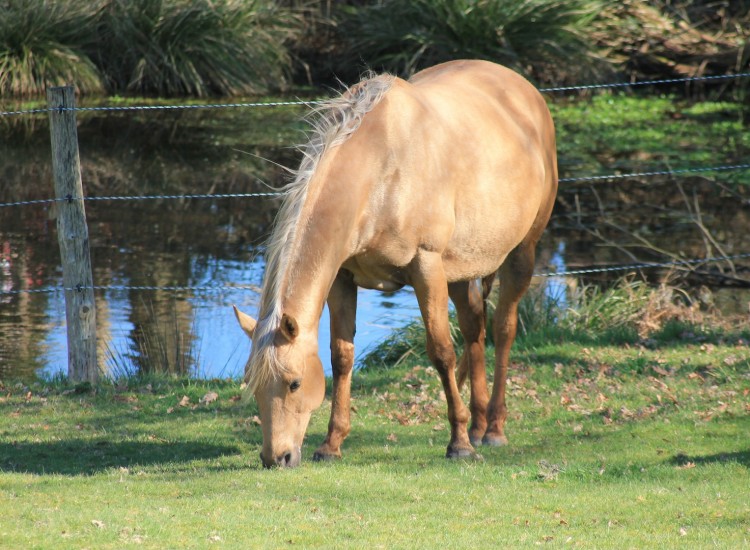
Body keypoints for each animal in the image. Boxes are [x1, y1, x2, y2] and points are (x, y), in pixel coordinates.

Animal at [234, 59, 557, 468]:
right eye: (251, 383)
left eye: (294, 383)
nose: (277, 458)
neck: (381, 172)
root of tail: (524, 90)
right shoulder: (343, 277)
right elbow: (341, 357)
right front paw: (331, 444)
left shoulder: (426, 266)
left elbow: (441, 352)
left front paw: (458, 444)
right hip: (460, 270)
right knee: (475, 329)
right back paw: (479, 424)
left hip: (521, 254)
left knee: (503, 329)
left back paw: (494, 430)